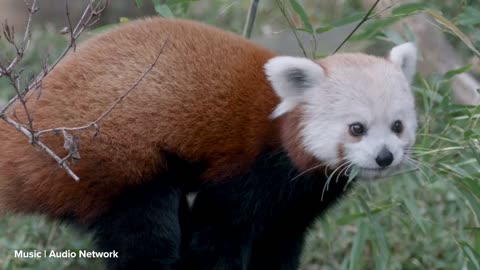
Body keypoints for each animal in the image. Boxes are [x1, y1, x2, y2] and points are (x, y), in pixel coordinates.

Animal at [0, 17, 416, 268]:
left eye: (397, 126)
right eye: (356, 128)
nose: (384, 157)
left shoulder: (297, 202)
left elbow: (279, 240)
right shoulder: (250, 168)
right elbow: (218, 231)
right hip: (113, 165)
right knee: (150, 236)